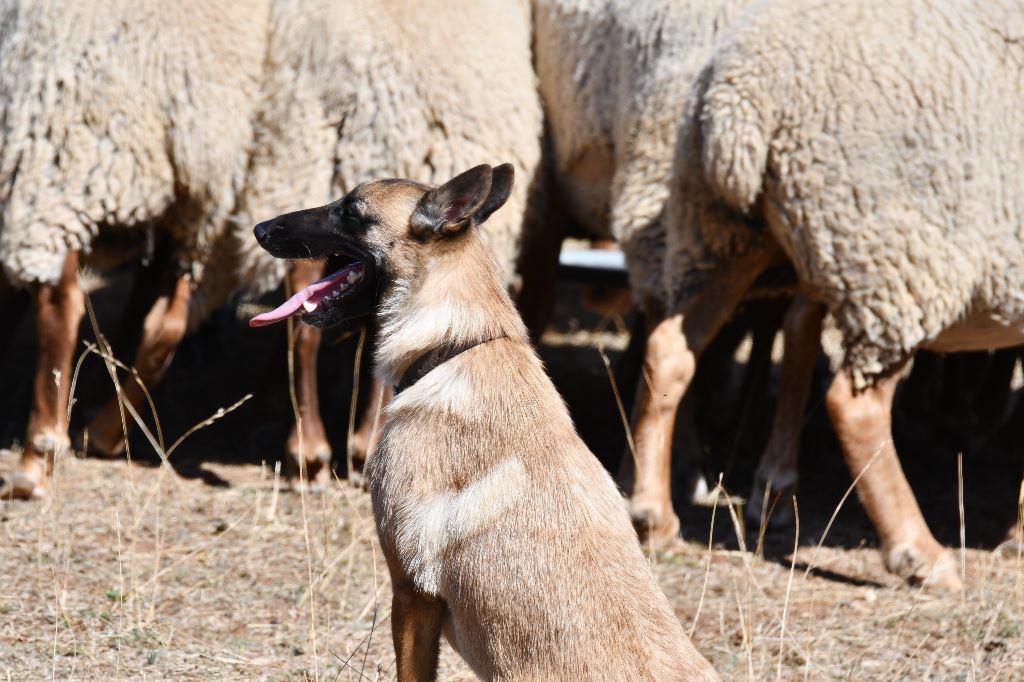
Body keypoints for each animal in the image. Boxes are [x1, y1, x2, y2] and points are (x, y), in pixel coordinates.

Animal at [0, 0, 272, 499]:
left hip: (60, 158)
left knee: (61, 304)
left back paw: (38, 457)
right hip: (196, 208)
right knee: (169, 316)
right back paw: (108, 426)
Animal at [647, 0, 1024, 585]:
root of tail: (738, 101)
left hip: (719, 230)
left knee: (671, 347)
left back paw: (651, 513)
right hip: (892, 258)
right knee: (854, 405)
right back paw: (919, 552)